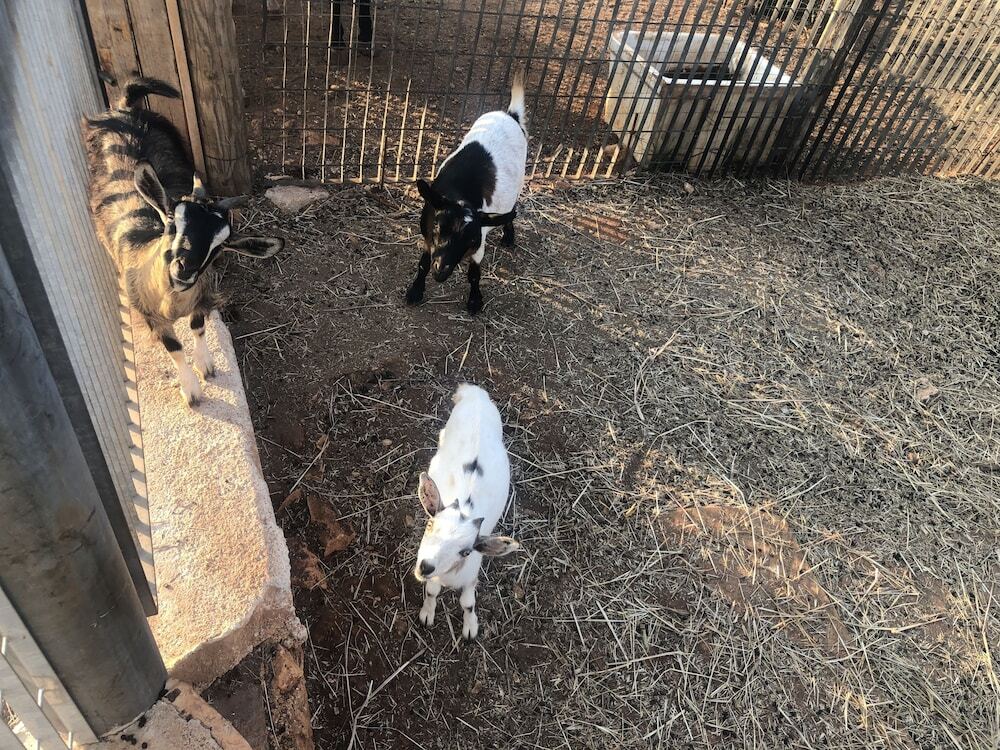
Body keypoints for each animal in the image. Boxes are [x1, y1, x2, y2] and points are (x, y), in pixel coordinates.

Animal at [83, 77, 283, 406]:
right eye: (172, 221)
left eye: (220, 246)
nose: (185, 269)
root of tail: (125, 109)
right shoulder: (151, 317)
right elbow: (174, 348)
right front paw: (191, 391)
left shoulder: (203, 295)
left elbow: (197, 326)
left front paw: (206, 366)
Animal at [405, 70, 527, 314]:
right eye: (438, 227)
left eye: (470, 240)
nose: (441, 271)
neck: (459, 192)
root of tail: (511, 115)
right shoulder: (427, 233)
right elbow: (423, 263)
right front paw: (415, 291)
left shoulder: (481, 235)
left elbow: (474, 273)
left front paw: (474, 301)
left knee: (512, 208)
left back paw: (508, 236)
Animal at [413, 383, 519, 640]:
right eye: (430, 525)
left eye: (466, 551)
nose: (426, 566)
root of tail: (475, 393)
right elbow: (431, 591)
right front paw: (427, 614)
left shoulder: (471, 574)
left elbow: (468, 603)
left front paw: (470, 628)